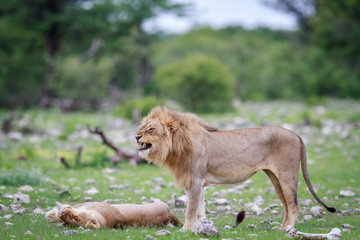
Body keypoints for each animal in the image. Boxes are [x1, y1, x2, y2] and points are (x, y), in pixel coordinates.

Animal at [135, 107, 334, 231]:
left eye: (150, 129)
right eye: (141, 127)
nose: (136, 136)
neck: (177, 145)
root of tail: (295, 133)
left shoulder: (195, 180)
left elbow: (190, 208)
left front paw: (186, 229)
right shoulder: (199, 183)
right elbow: (200, 208)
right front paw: (200, 227)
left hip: (287, 175)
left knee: (293, 205)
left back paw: (289, 229)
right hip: (275, 178)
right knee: (286, 205)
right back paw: (282, 227)